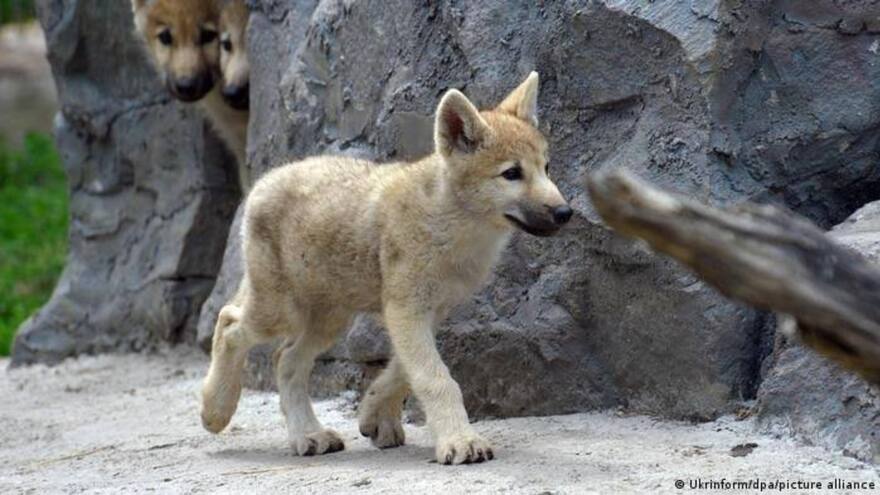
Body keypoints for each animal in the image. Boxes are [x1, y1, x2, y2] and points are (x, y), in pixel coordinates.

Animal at [200, 72, 573, 465]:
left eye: (546, 168)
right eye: (512, 173)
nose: (565, 212)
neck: (452, 225)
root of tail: (264, 180)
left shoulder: (427, 312)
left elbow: (402, 371)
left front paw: (375, 415)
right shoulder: (406, 310)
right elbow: (437, 379)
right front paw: (460, 440)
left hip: (329, 318)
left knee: (285, 359)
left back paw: (309, 435)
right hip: (280, 312)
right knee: (229, 322)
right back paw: (216, 409)